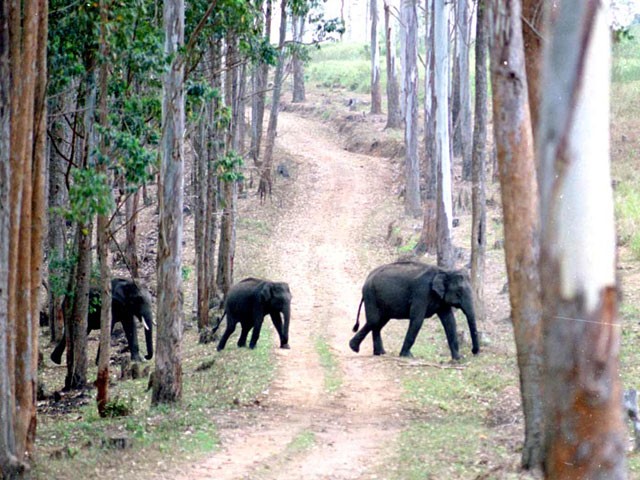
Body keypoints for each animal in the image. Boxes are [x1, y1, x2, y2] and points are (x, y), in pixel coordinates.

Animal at [350, 260, 480, 358]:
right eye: (459, 292)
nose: (474, 352)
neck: (444, 270)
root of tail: (367, 278)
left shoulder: (441, 299)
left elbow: (450, 321)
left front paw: (458, 359)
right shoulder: (421, 293)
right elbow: (417, 320)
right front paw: (407, 356)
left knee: (379, 322)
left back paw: (379, 353)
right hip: (370, 295)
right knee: (374, 321)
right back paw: (354, 348)